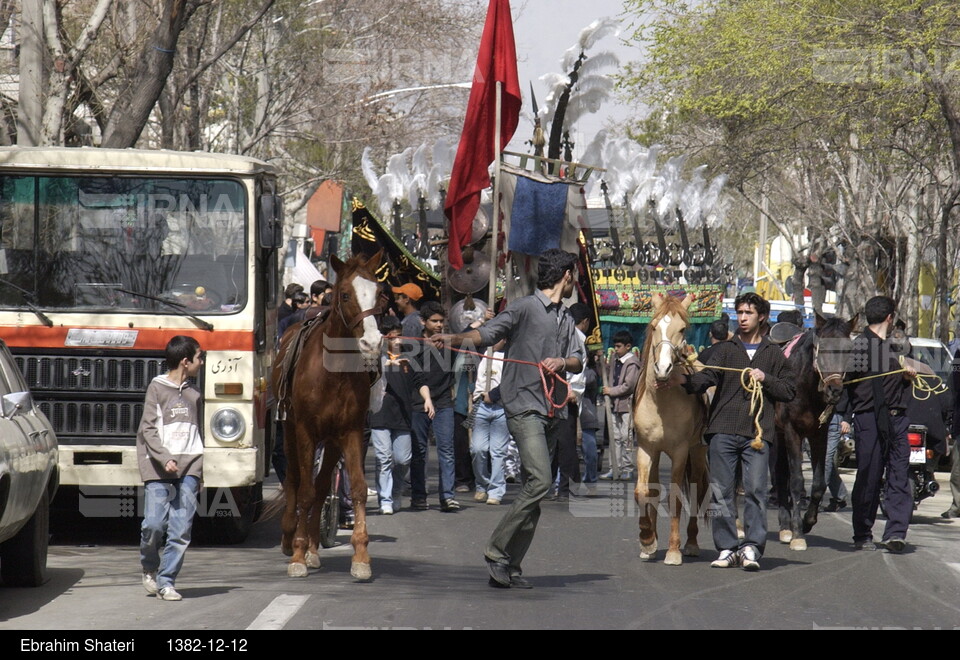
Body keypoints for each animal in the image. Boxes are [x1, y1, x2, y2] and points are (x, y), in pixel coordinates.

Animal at [270, 250, 382, 580]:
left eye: (379, 293)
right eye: (345, 294)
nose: (373, 342)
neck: (335, 372)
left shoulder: (351, 431)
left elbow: (356, 489)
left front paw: (361, 556)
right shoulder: (305, 431)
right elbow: (305, 491)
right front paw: (297, 554)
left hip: (331, 442)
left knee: (322, 487)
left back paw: (313, 548)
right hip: (290, 431)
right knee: (296, 481)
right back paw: (291, 538)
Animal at [632, 296, 708, 568]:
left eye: (682, 329)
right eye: (654, 326)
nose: (663, 369)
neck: (662, 402)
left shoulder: (680, 451)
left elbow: (675, 497)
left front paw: (674, 550)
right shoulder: (646, 448)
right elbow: (643, 492)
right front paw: (646, 539)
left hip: (697, 450)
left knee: (696, 488)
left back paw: (692, 543)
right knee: (653, 488)